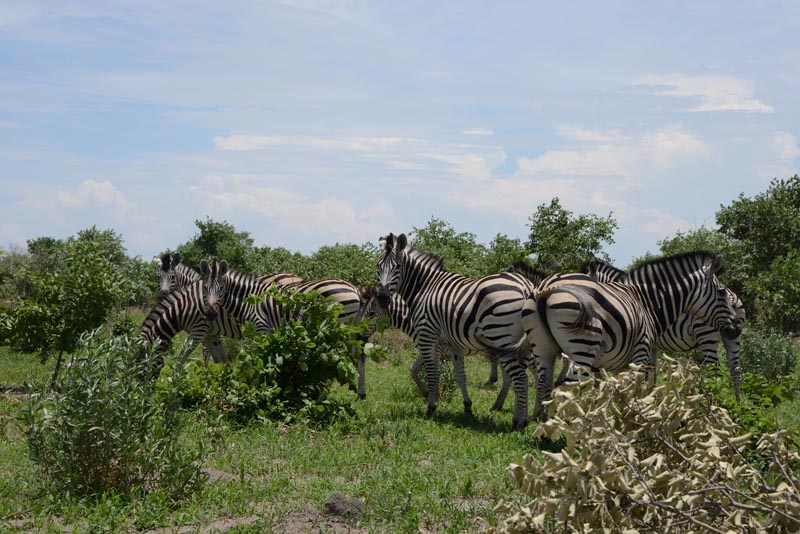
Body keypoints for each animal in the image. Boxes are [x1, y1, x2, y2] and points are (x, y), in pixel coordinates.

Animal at [376, 233, 537, 429]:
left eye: (397, 267)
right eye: (378, 266)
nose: (383, 297)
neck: (424, 288)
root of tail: (526, 286)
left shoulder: (428, 337)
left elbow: (432, 372)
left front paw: (431, 406)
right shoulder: (453, 345)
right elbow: (459, 376)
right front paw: (467, 408)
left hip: (503, 338)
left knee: (522, 378)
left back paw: (520, 422)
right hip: (523, 343)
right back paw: (529, 415)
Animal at [580, 259, 746, 401]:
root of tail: (732, 298)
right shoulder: (651, 346)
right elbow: (652, 373)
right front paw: (652, 398)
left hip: (707, 336)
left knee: (715, 371)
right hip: (733, 337)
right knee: (736, 369)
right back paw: (738, 406)